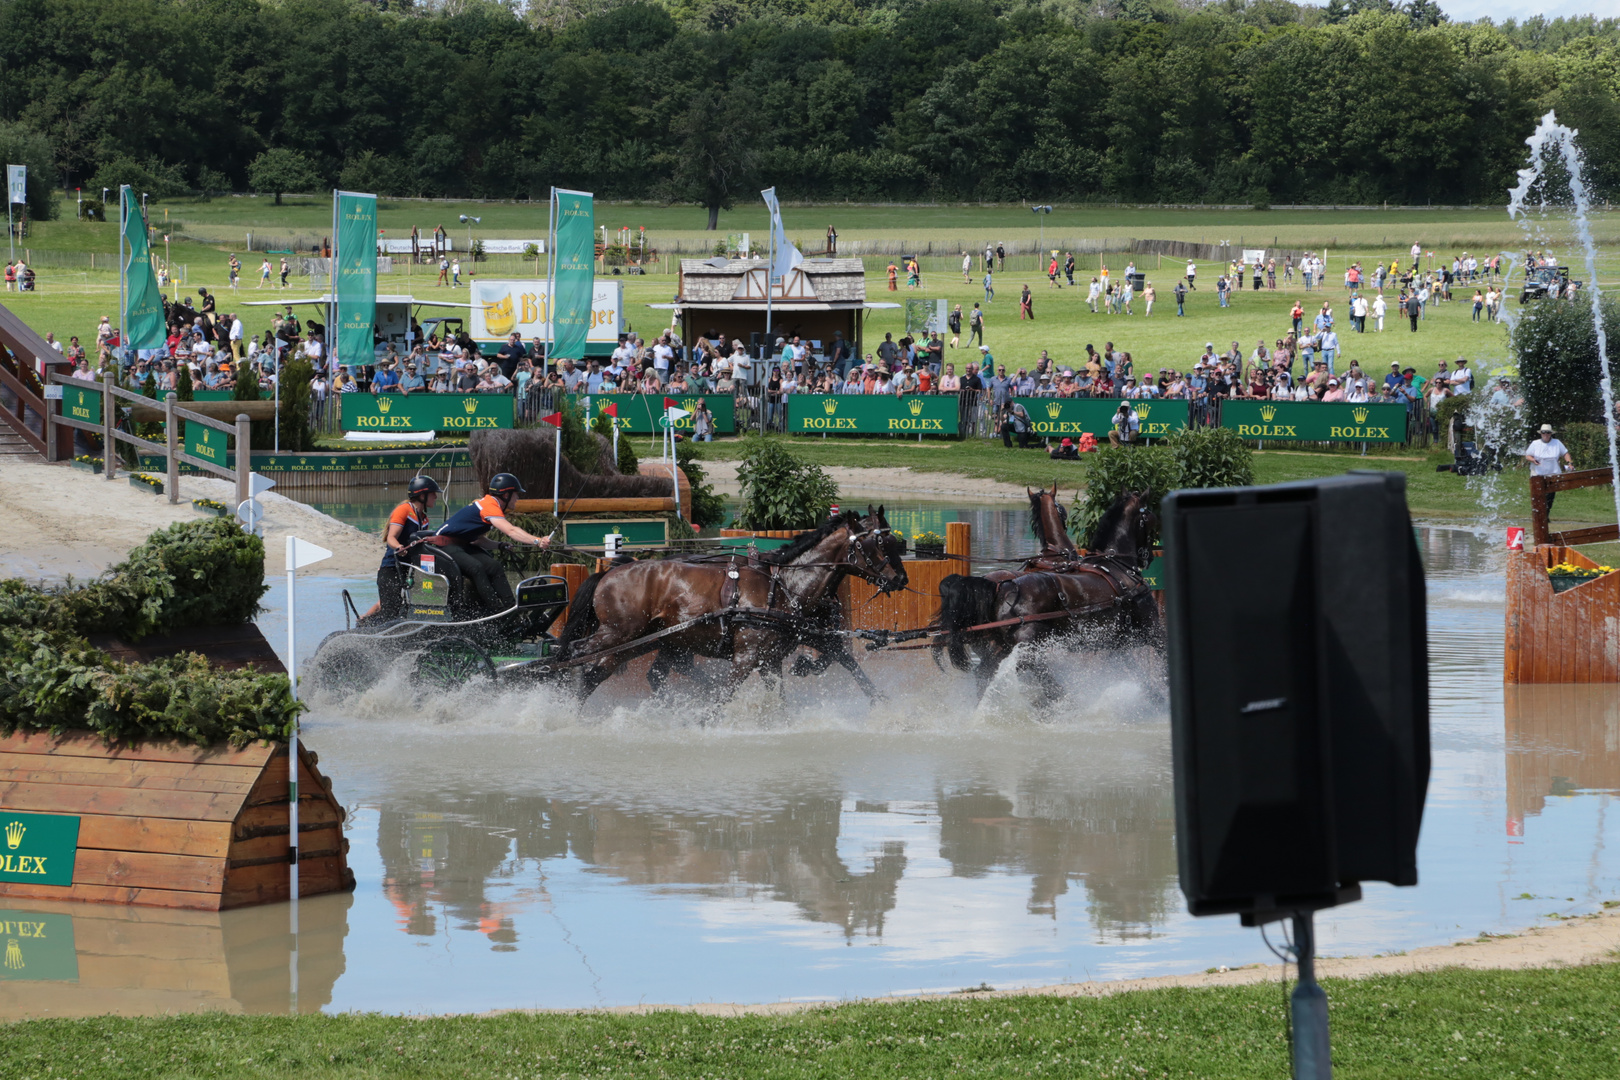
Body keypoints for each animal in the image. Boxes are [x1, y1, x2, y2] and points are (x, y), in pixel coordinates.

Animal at [557, 511, 913, 705]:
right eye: (879, 542)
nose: (901, 578)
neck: (783, 586)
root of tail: (609, 572)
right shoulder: (747, 657)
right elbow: (723, 699)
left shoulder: (772, 658)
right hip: (619, 635)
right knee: (573, 655)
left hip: (642, 640)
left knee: (600, 673)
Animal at [939, 488, 1166, 709]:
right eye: (1150, 518)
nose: (1148, 556)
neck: (1115, 565)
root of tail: (1002, 589)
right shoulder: (1151, 630)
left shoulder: (1118, 642)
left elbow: (1133, 670)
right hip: (1028, 647)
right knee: (1032, 672)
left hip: (1000, 647)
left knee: (986, 674)